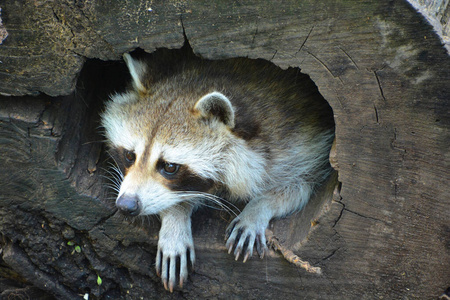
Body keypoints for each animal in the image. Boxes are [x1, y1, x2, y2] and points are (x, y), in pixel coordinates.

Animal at [101, 46, 334, 290]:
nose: (126, 205)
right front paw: (175, 218)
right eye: (129, 155)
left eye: (170, 167)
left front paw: (258, 207)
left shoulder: (298, 146)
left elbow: (301, 185)